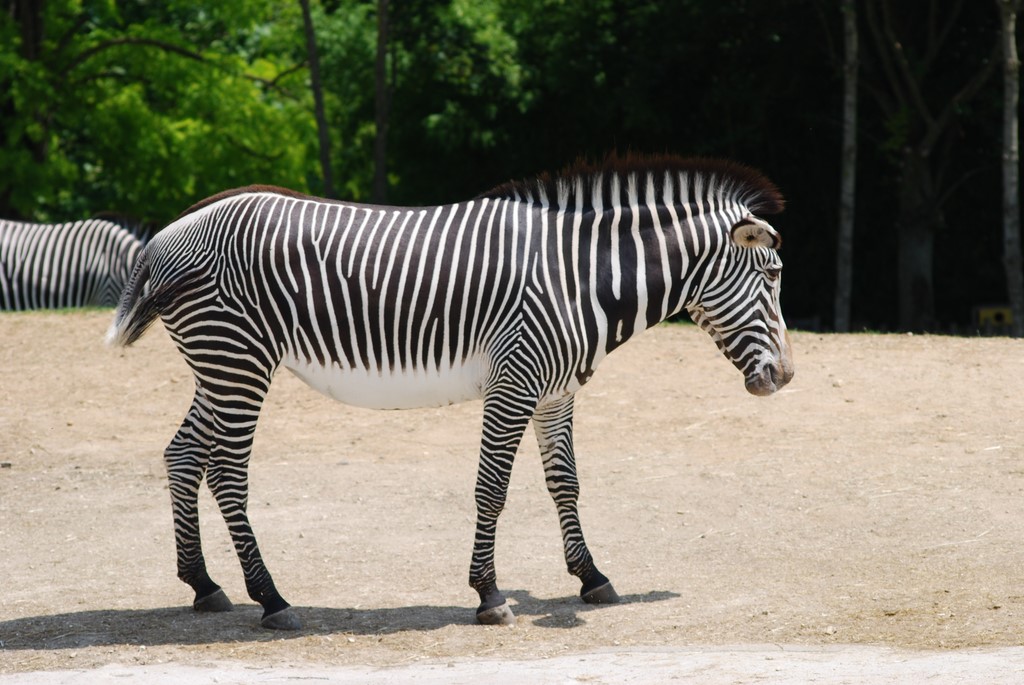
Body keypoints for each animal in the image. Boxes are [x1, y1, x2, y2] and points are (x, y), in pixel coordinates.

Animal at [106, 155, 793, 630]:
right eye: (772, 275)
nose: (785, 378)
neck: (580, 277)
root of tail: (168, 233)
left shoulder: (556, 392)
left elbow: (564, 482)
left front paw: (590, 576)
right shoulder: (514, 382)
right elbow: (492, 488)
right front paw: (489, 594)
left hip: (220, 365)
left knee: (182, 454)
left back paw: (203, 584)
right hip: (239, 360)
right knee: (226, 472)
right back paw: (272, 599)